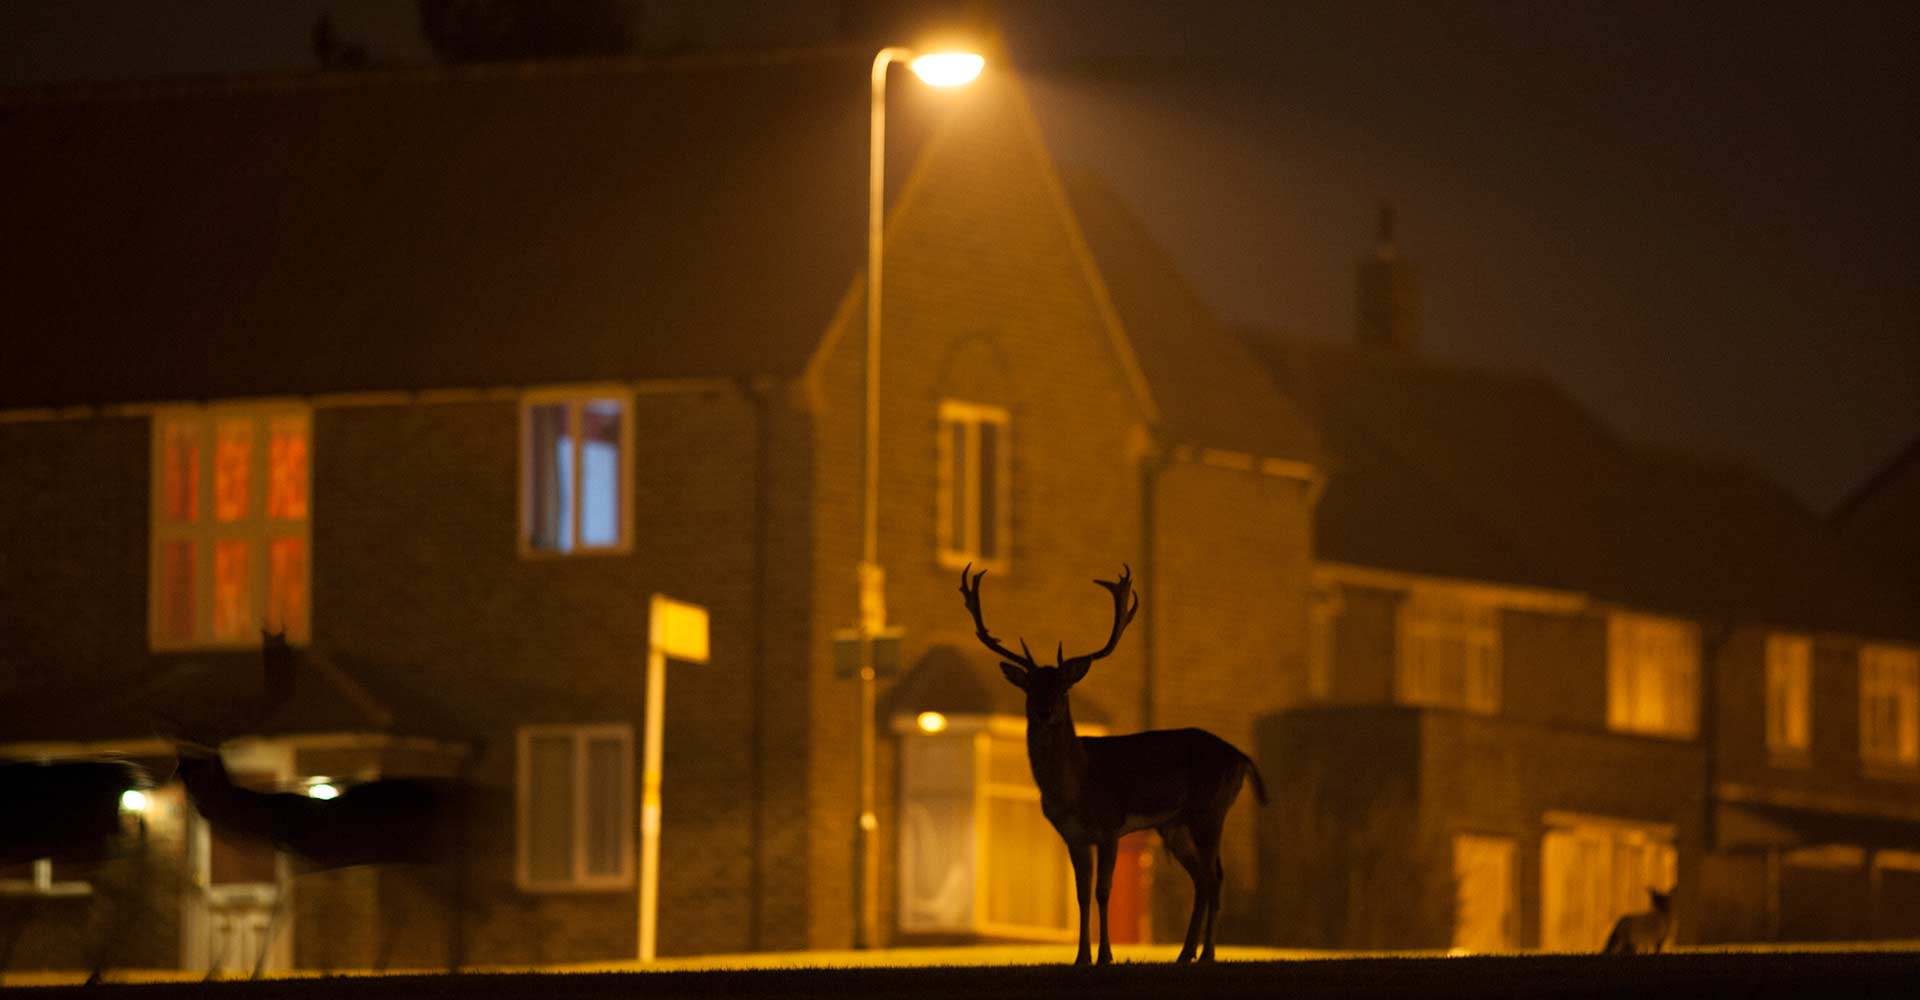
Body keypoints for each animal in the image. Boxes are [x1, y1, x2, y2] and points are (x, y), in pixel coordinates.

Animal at [956, 560, 1259, 959]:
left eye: (1063, 687)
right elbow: (1083, 895)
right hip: (1175, 825)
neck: (1076, 786)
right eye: (1030, 687)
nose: (1044, 710)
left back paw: (1206, 953)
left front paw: (1105, 956)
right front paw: (1081, 957)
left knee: (1214, 877)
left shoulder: (1111, 826)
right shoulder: (1073, 835)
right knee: (1202, 878)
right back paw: (1186, 953)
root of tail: (1241, 757)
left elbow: (1103, 892)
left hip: (1211, 809)